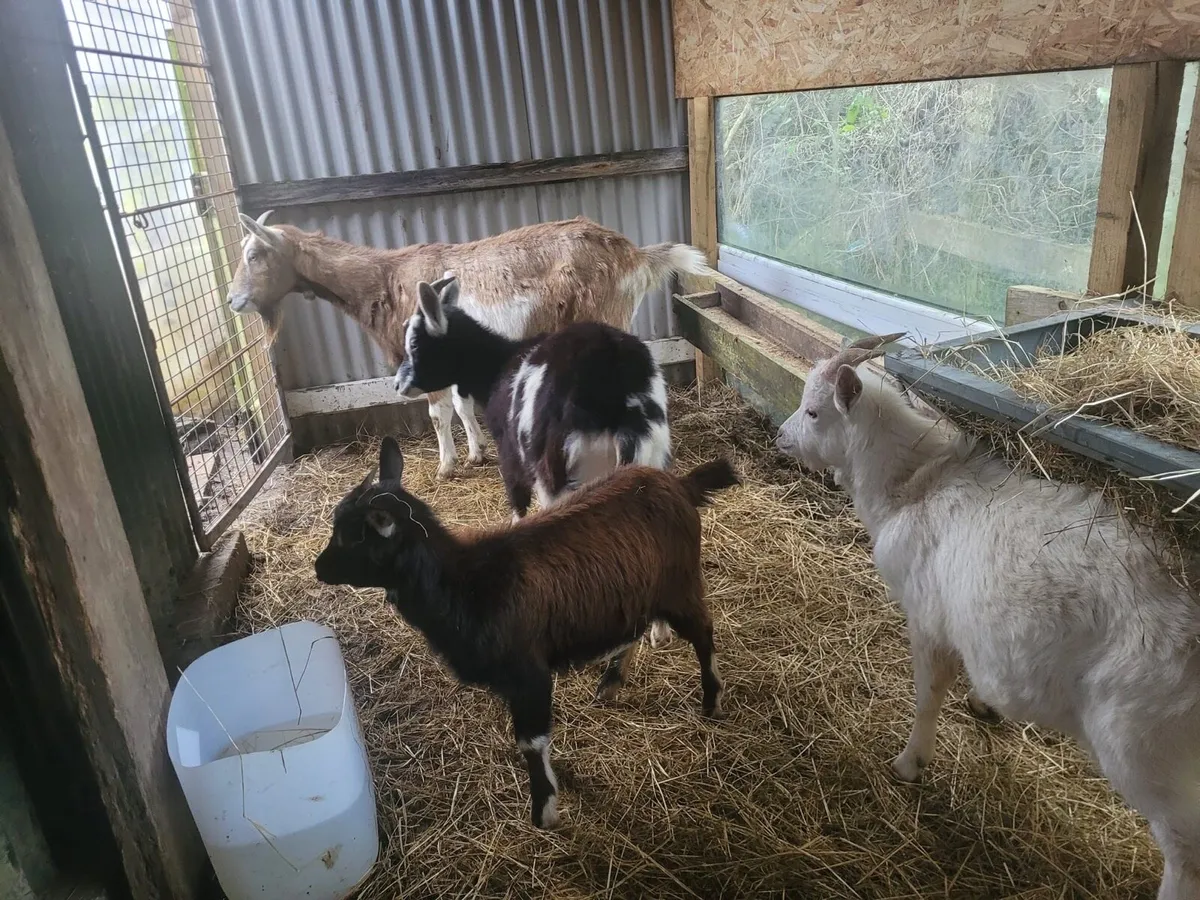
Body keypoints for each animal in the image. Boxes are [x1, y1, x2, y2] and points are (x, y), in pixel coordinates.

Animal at [228, 211, 705, 479]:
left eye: (255, 254)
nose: (233, 301)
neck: (384, 280)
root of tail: (634, 255)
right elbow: (461, 405)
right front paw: (476, 454)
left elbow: (438, 413)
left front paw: (446, 467)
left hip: (606, 314)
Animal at [314, 437, 737, 829]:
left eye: (351, 537)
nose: (319, 568)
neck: (465, 583)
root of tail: (679, 484)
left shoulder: (528, 674)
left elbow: (531, 742)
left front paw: (544, 809)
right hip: (634, 591)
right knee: (635, 629)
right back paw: (610, 684)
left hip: (679, 586)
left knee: (704, 632)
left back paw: (712, 701)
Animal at [395, 275, 679, 649]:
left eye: (415, 342)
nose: (398, 384)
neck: (497, 366)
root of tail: (611, 384)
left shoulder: (511, 455)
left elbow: (517, 506)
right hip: (653, 457)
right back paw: (659, 631)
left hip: (556, 471)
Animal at [775, 332, 1200, 900]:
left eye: (814, 411)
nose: (781, 437)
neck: (915, 488)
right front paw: (983, 703)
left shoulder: (927, 619)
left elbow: (928, 696)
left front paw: (909, 763)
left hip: (1148, 748)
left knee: (1184, 851)